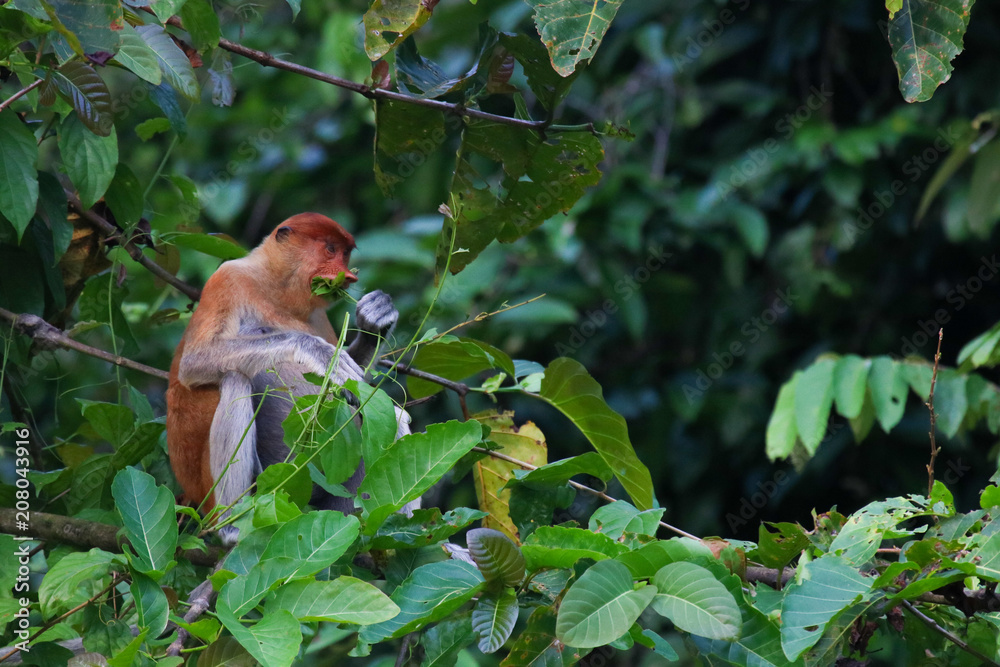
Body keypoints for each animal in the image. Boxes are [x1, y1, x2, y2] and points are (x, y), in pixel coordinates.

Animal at [166, 213, 409, 542]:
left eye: (346, 253)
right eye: (330, 249)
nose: (348, 276)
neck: (275, 289)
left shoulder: (317, 314)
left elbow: (356, 383)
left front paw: (376, 319)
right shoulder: (228, 279)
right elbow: (194, 361)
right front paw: (320, 353)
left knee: (391, 416)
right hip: (215, 490)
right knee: (235, 380)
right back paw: (230, 527)